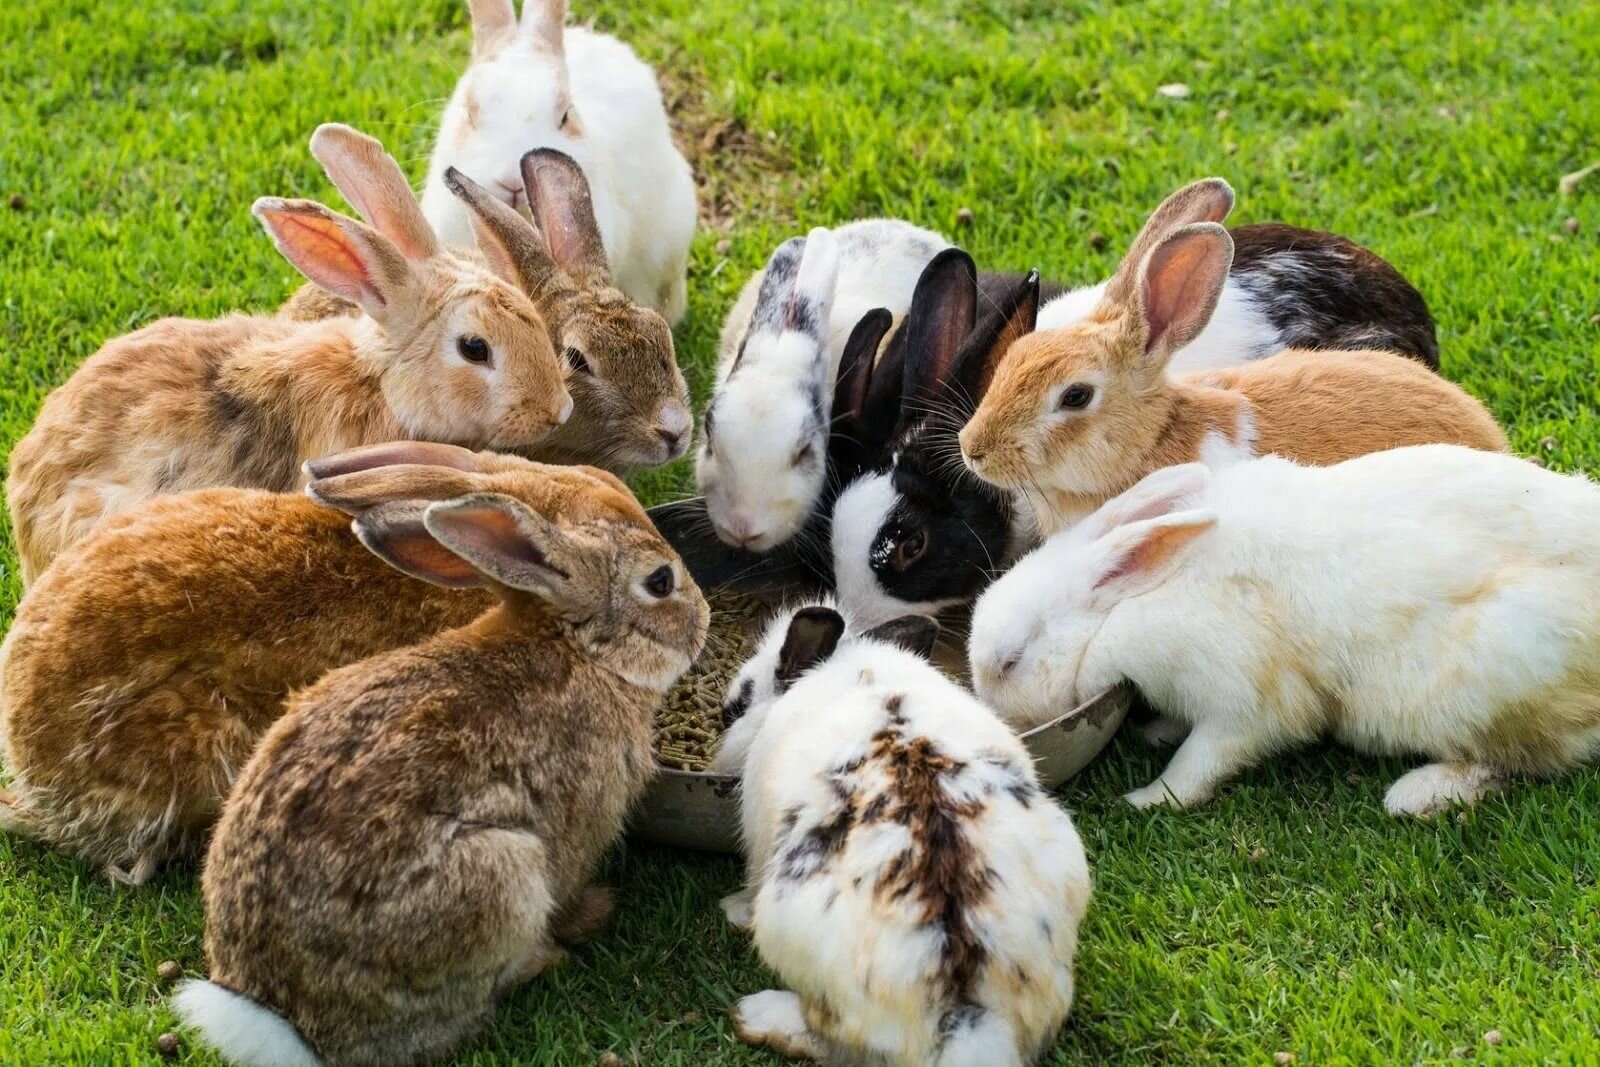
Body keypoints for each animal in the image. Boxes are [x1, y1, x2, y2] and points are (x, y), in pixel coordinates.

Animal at [173, 486, 707, 1067]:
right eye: (660, 581)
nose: (704, 615)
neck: (582, 649)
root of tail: (288, 1020)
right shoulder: (580, 827)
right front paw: (592, 912)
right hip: (501, 873)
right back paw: (545, 959)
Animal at [970, 448, 1600, 816]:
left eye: (1010, 661)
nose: (999, 721)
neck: (1121, 610)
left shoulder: (1243, 703)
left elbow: (1202, 762)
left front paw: (1149, 799)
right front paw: (1156, 731)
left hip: (1485, 683)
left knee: (1520, 762)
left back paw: (1418, 794)